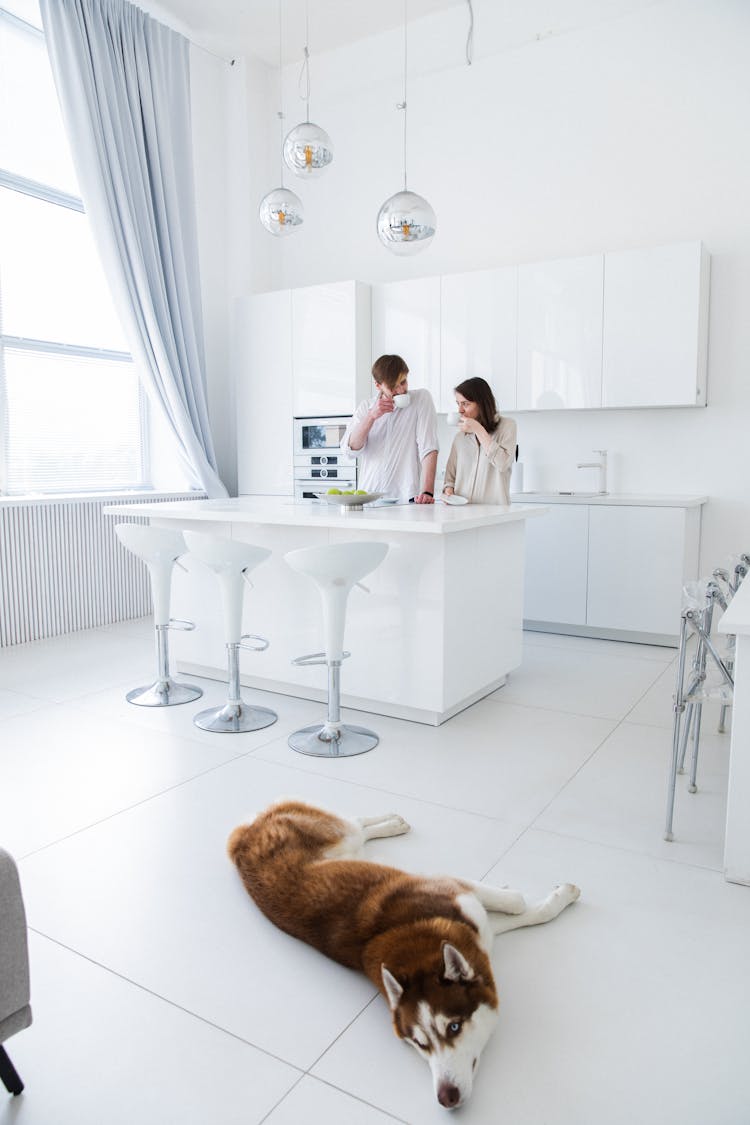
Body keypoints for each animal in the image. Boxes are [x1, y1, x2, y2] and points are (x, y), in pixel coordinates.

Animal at [229, 801, 580, 1107]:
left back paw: (390, 823)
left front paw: (541, 895)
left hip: (342, 835)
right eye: (419, 1044)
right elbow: (523, 907)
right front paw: (548, 898)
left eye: (454, 1028)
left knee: (356, 821)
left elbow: (518, 905)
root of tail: (241, 840)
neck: (414, 942)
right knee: (355, 824)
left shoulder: (456, 897)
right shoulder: (467, 916)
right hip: (340, 835)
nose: (446, 1097)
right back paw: (391, 824)